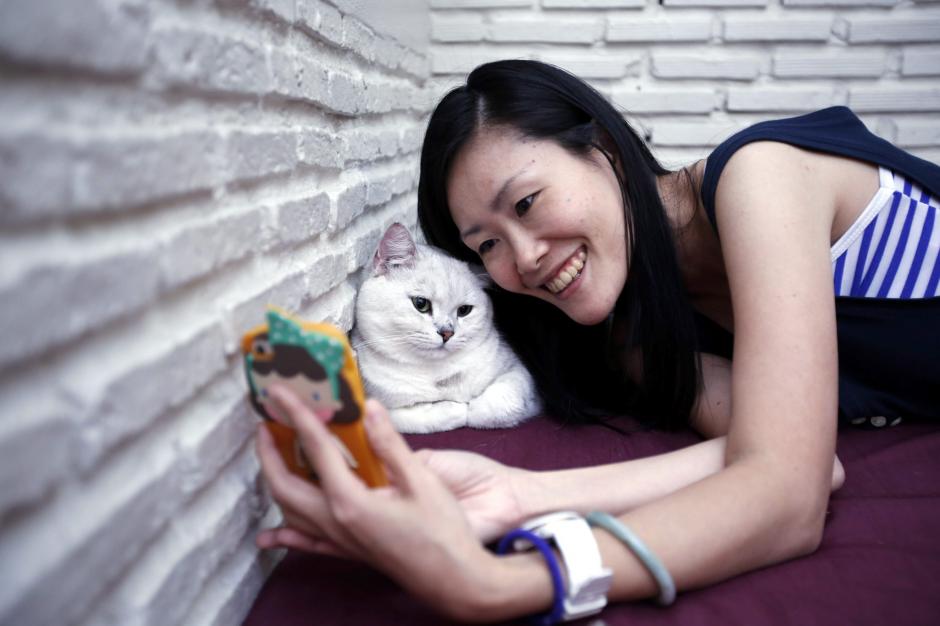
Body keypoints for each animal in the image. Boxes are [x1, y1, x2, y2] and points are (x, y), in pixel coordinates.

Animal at [352, 222, 544, 432]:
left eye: (464, 310)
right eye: (421, 304)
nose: (447, 333)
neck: (437, 374)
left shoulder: (519, 372)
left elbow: (500, 401)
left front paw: (473, 407)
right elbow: (417, 417)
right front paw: (456, 408)